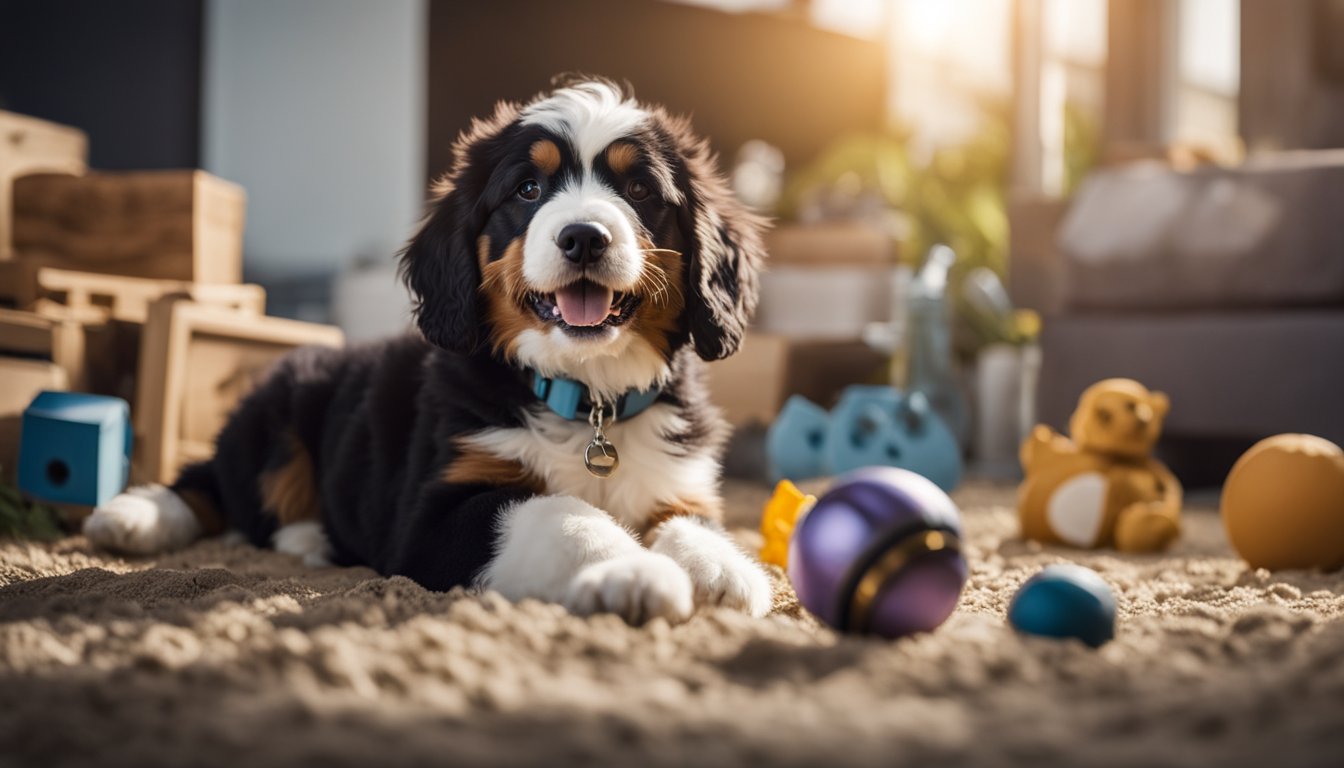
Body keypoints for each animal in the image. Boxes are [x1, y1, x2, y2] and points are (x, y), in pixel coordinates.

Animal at [84, 79, 774, 624]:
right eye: (528, 190)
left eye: (639, 190)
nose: (583, 237)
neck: (587, 395)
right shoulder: (435, 513)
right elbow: (562, 514)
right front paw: (628, 574)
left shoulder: (680, 481)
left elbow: (689, 521)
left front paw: (722, 568)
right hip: (275, 417)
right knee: (213, 483)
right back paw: (138, 518)